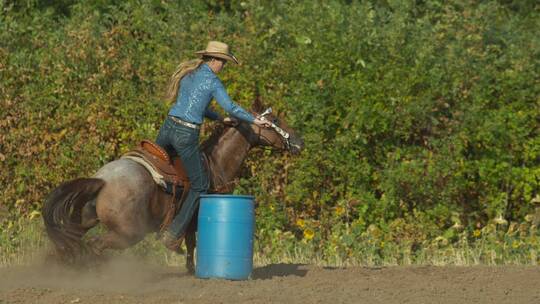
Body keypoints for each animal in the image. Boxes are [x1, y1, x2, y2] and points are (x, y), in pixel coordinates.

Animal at [42, 100, 304, 274]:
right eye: (275, 120)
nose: (299, 141)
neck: (214, 164)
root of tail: (103, 180)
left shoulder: (190, 221)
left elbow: (189, 243)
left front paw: (189, 269)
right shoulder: (194, 216)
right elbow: (191, 242)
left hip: (85, 220)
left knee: (70, 242)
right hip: (128, 233)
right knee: (95, 245)